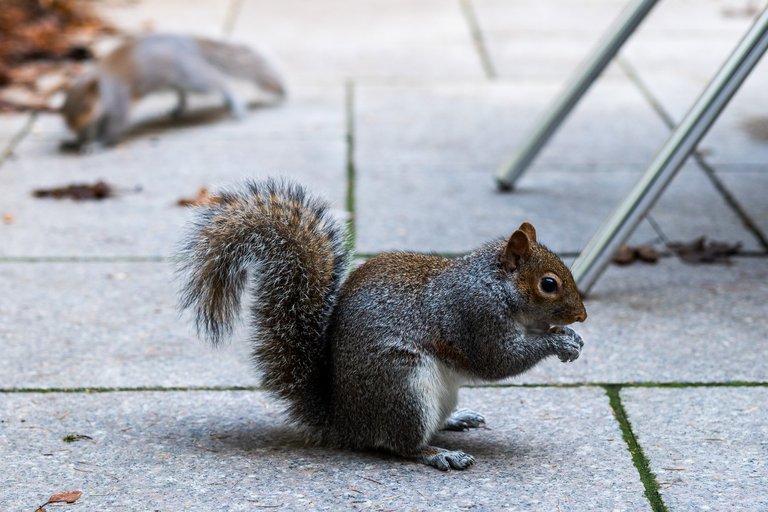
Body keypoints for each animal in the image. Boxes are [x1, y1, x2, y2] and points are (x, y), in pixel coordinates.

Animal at [60, 34, 284, 148]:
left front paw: (95, 145)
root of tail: (187, 43)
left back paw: (235, 103)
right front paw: (77, 141)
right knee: (182, 92)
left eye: (86, 107)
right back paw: (177, 108)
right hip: (174, 81)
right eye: (63, 111)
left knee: (218, 82)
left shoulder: (118, 103)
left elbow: (113, 127)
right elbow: (89, 130)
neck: (104, 88)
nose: (72, 127)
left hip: (190, 75)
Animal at [178, 180, 588, 472]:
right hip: (403, 385)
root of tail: (344, 422)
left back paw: (456, 420)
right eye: (548, 284)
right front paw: (559, 342)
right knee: (401, 445)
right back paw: (439, 453)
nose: (582, 315)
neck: (493, 285)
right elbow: (499, 360)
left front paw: (571, 337)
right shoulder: (474, 316)